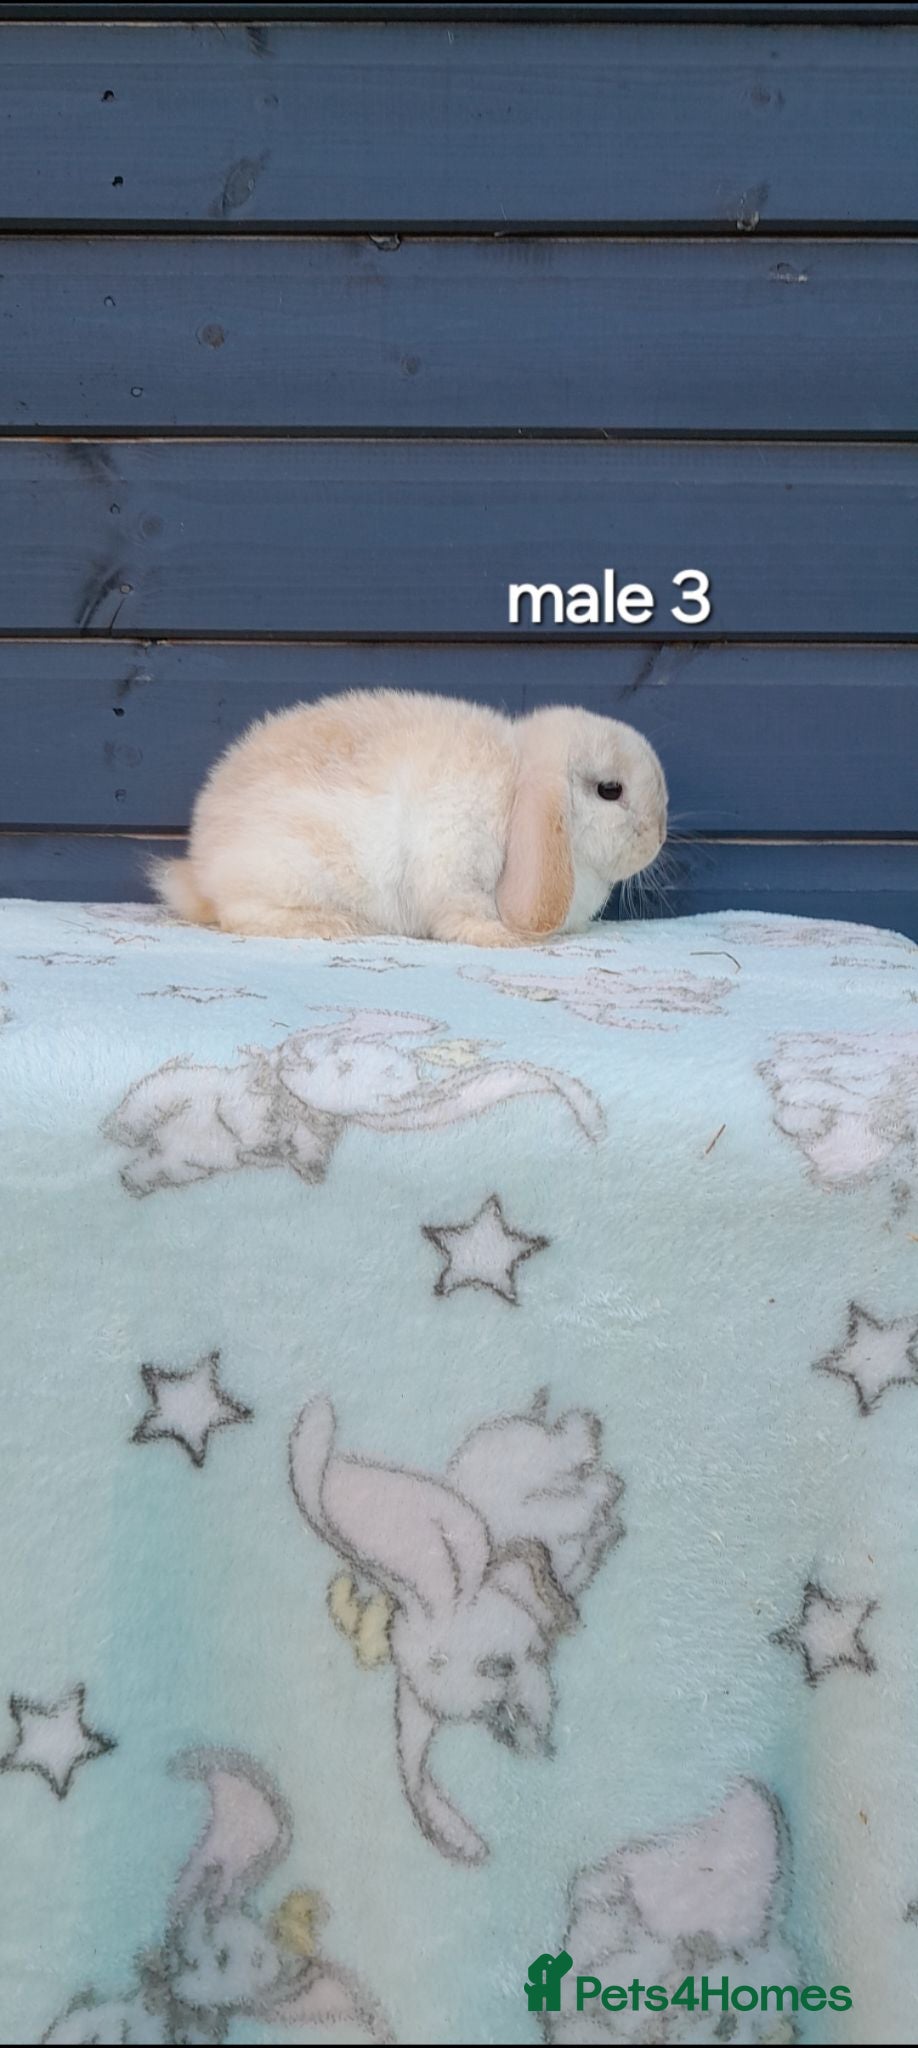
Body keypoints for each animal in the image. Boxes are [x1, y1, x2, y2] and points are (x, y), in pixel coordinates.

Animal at [152, 689, 667, 944]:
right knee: (241, 915)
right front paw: (505, 939)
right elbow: (462, 916)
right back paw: (332, 926)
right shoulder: (455, 866)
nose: (659, 836)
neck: (517, 792)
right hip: (291, 869)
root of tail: (200, 865)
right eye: (610, 791)